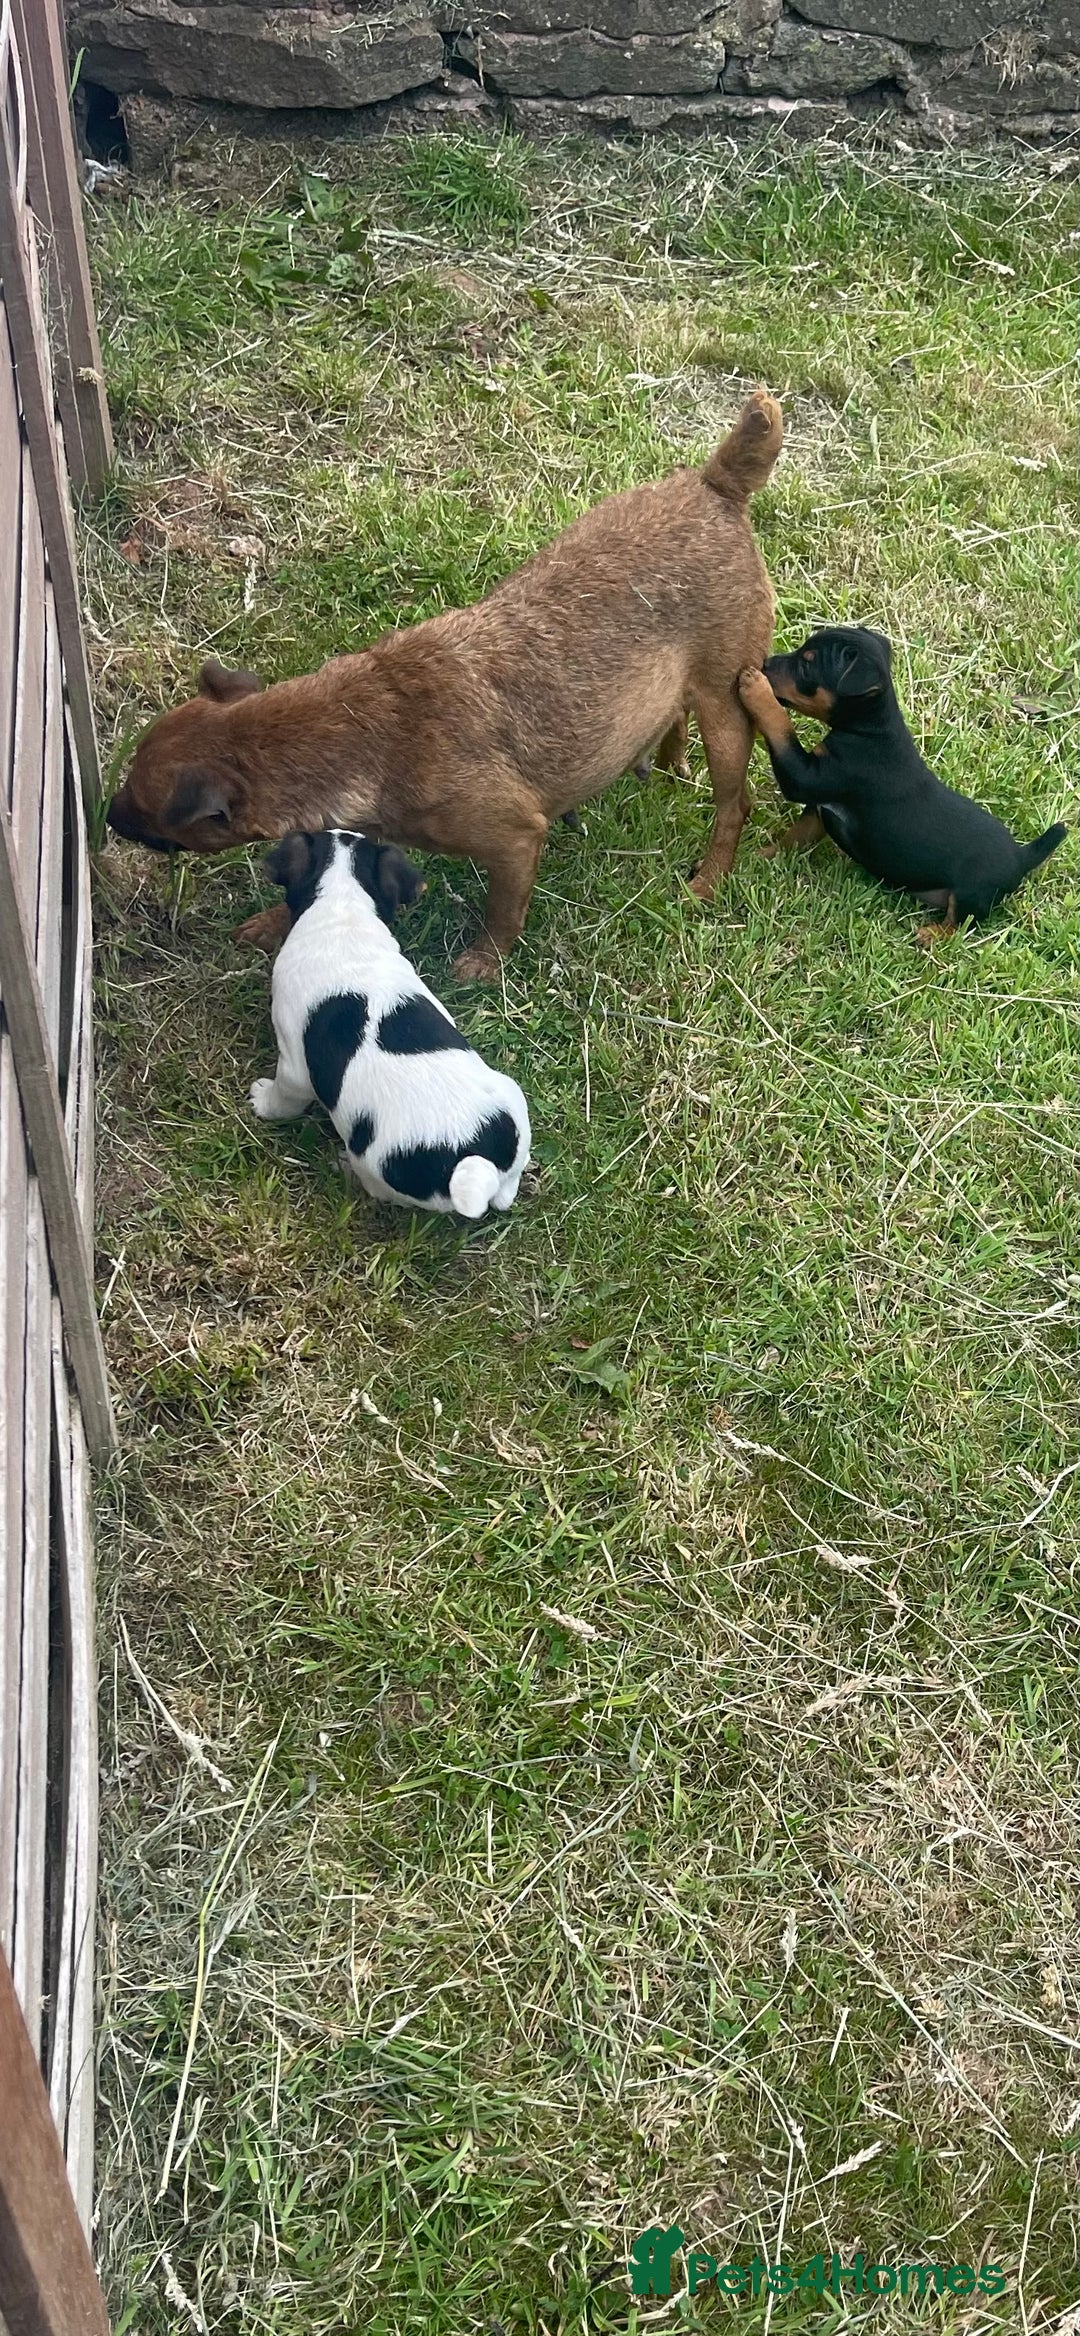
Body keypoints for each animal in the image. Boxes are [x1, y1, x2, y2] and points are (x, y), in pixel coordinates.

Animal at [106, 390, 783, 979]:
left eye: (140, 804)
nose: (106, 817)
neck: (360, 725)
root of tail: (715, 483)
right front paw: (274, 920)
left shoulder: (514, 840)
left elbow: (503, 913)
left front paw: (484, 962)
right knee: (673, 717)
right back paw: (664, 764)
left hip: (729, 706)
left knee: (734, 804)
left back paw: (706, 880)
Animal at [250, 830, 531, 1218]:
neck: (343, 908)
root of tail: (475, 1160)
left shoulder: (294, 1065)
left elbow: (284, 1096)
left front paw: (263, 1101)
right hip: (513, 1097)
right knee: (509, 1187)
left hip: (373, 1164)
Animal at [738, 627, 1067, 942]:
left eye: (807, 666)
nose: (765, 664)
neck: (871, 729)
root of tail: (1021, 857)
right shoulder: (820, 807)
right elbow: (794, 838)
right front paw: (763, 857)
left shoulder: (806, 777)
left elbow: (781, 728)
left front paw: (756, 689)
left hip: (972, 892)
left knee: (961, 924)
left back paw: (932, 935)